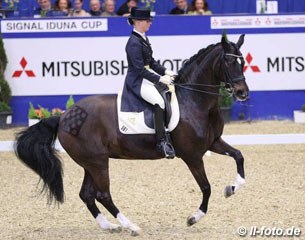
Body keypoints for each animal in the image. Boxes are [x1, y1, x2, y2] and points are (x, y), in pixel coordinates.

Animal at [14, 34, 248, 235]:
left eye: (243, 61)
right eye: (228, 61)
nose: (242, 93)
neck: (193, 100)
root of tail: (63, 117)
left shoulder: (213, 143)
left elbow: (239, 156)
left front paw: (231, 188)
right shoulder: (192, 156)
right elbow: (206, 187)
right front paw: (193, 218)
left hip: (91, 162)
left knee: (87, 194)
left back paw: (110, 226)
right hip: (97, 162)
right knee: (103, 195)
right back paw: (131, 226)